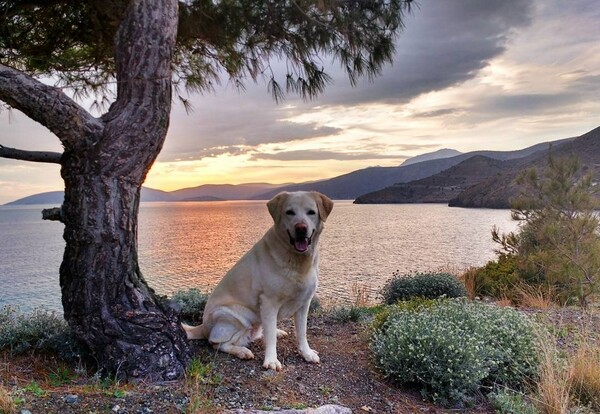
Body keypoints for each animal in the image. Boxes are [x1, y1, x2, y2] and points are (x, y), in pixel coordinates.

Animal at [183, 191, 332, 368]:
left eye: (311, 212)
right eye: (290, 212)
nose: (301, 228)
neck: (297, 261)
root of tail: (202, 327)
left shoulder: (304, 302)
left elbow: (302, 332)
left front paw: (306, 353)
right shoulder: (268, 302)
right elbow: (270, 338)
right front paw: (271, 360)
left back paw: (276, 331)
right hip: (233, 316)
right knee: (218, 343)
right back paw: (242, 351)